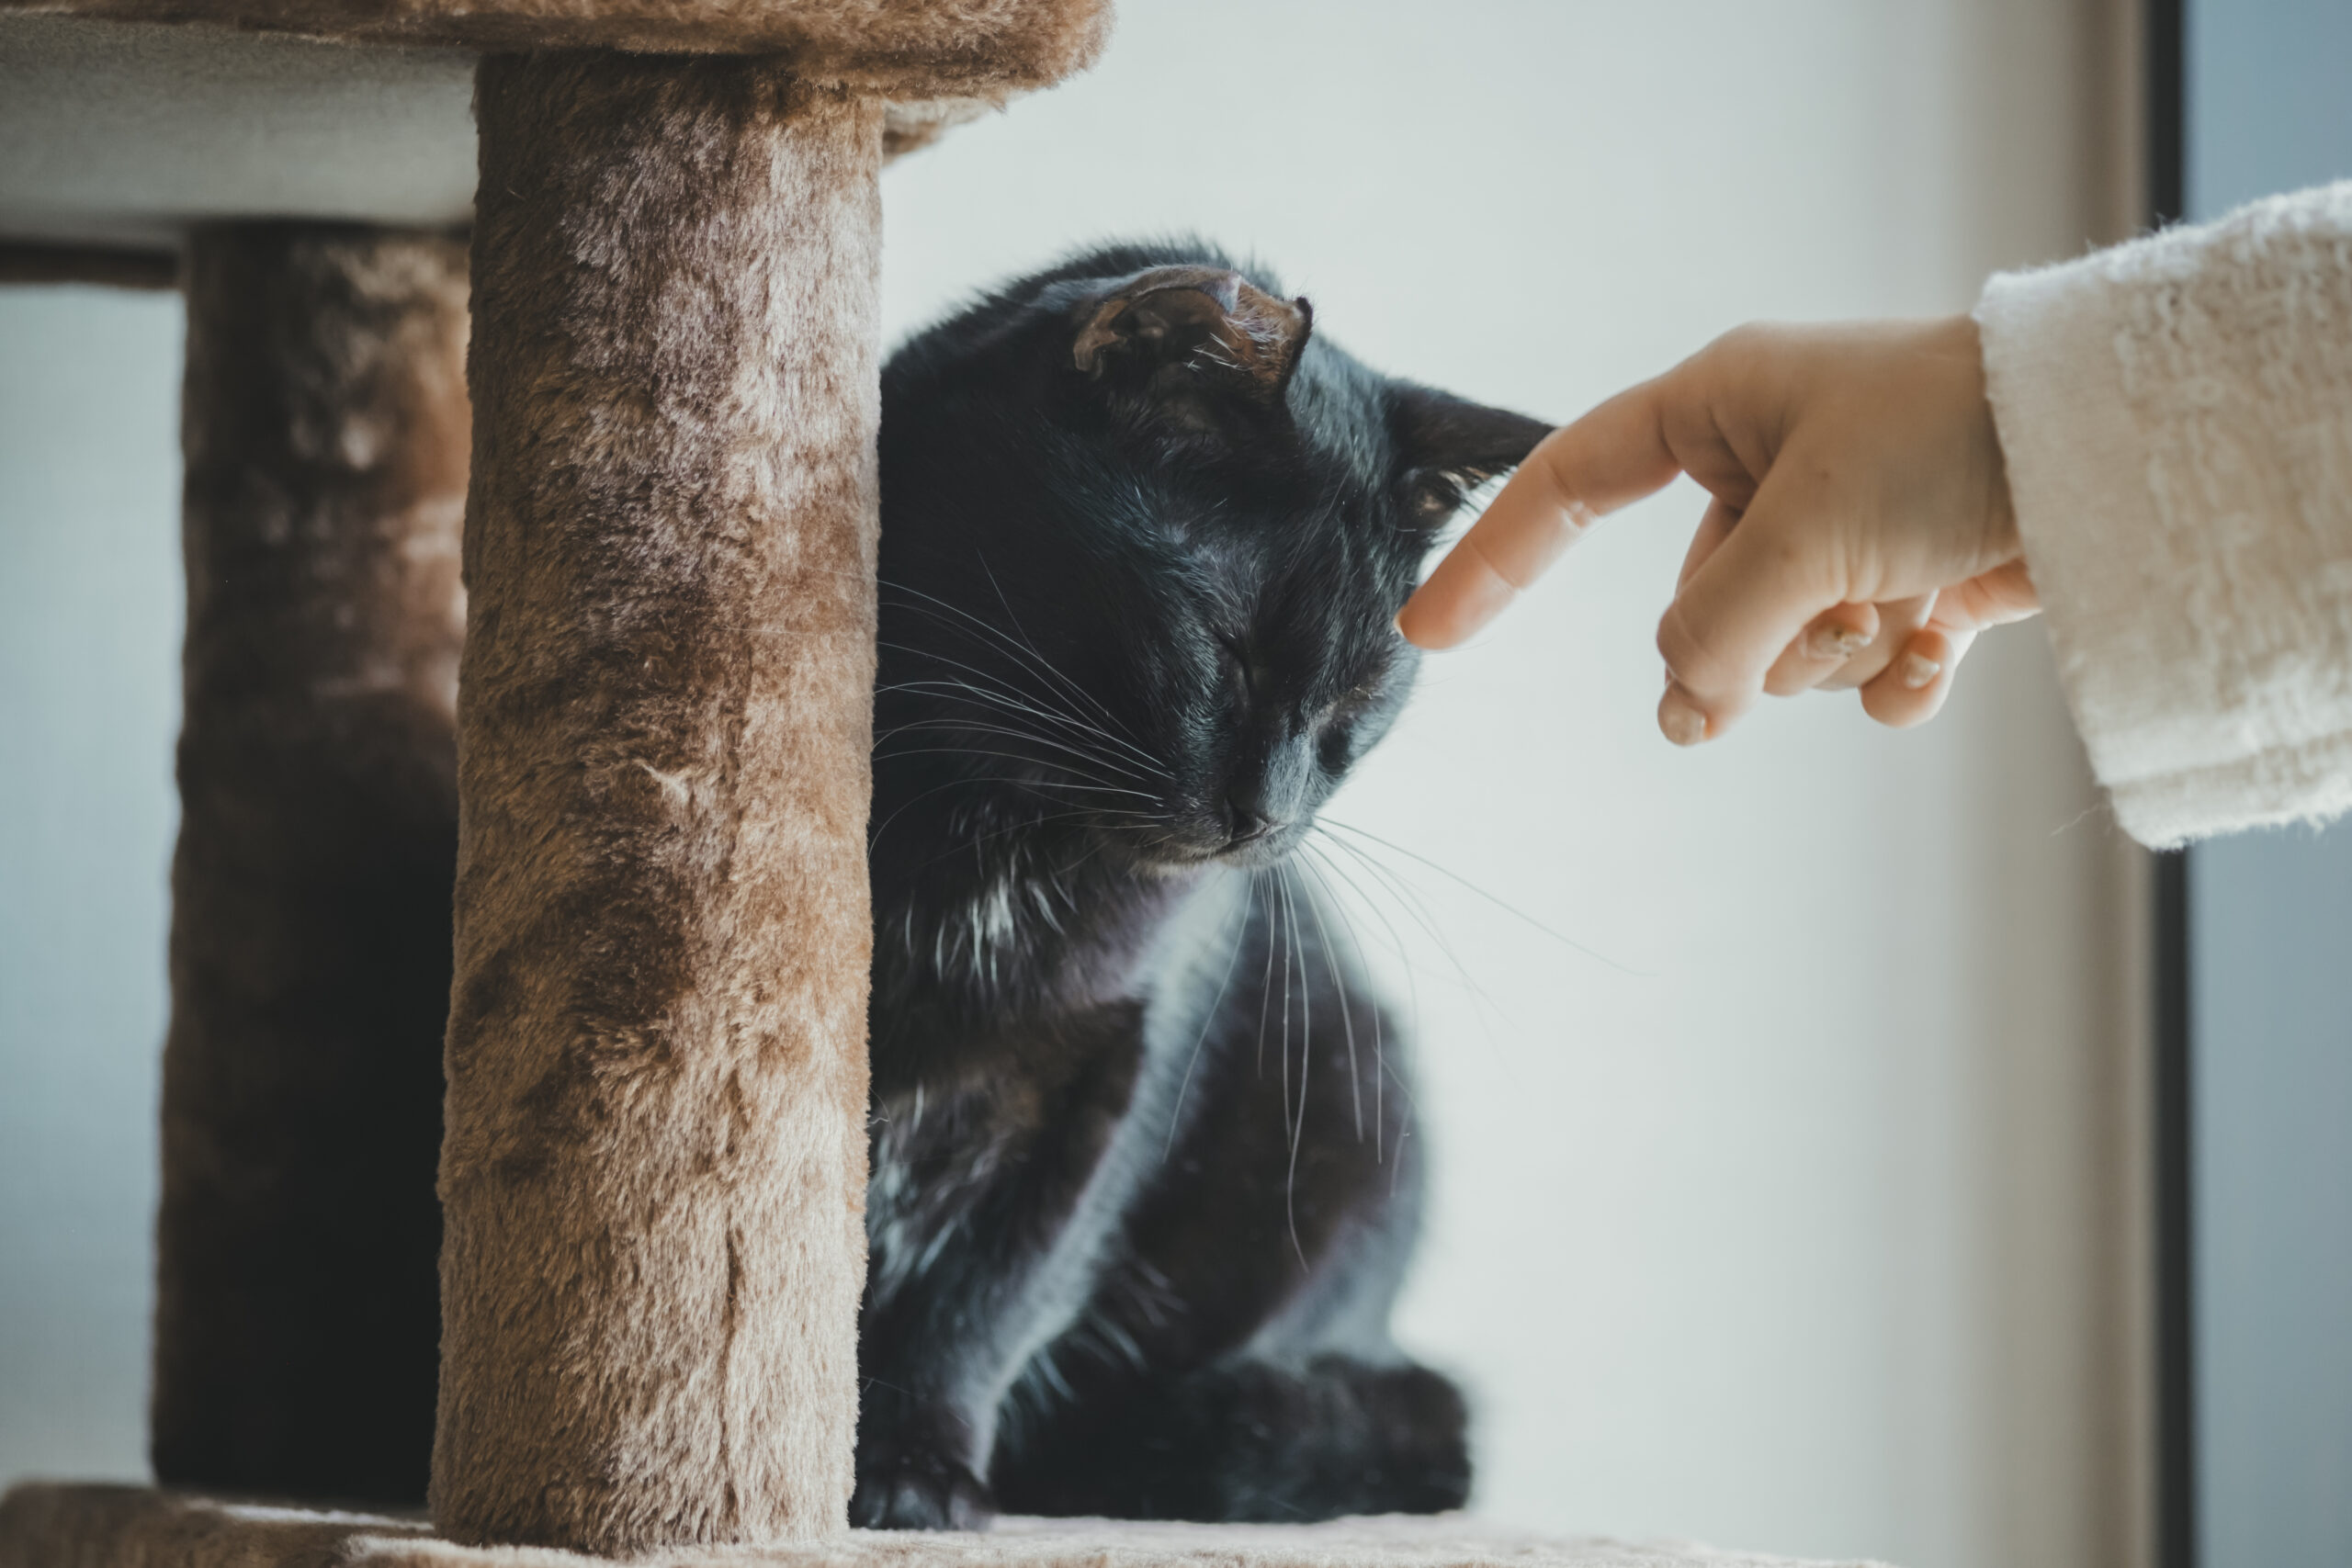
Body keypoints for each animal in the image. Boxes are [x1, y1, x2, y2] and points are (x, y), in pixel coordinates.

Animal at [855, 245, 1552, 1532]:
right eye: (1226, 647)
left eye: (1358, 698)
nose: (1266, 815)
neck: (999, 839)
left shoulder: (1114, 1066)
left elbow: (998, 1288)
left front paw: (916, 1475)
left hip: (1362, 1106)